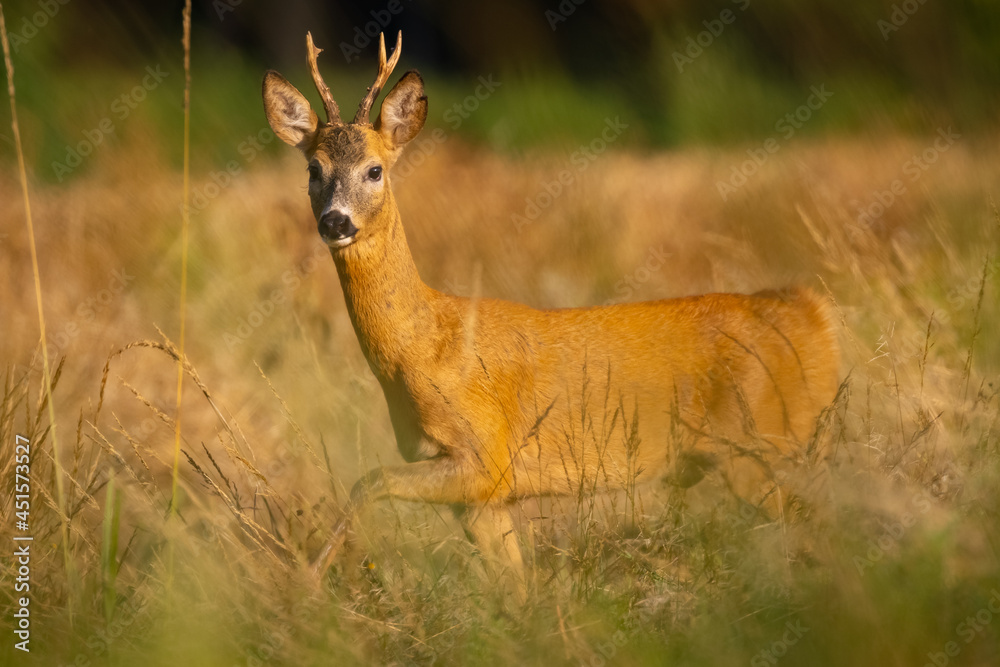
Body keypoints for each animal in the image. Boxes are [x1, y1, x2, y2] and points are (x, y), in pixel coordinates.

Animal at [261, 31, 840, 586]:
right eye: (313, 170)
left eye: (375, 170)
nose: (335, 222)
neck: (426, 346)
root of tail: (815, 315)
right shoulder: (484, 498)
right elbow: (517, 592)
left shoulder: (486, 454)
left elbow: (368, 480)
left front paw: (308, 579)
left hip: (766, 445)